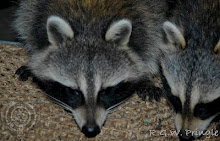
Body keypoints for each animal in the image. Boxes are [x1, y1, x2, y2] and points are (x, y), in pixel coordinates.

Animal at [13, 0, 168, 138]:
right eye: (74, 91)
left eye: (106, 91)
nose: (91, 130)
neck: (90, 27)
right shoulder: (36, 13)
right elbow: (28, 25)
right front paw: (32, 61)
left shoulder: (146, 19)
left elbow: (152, 41)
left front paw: (147, 75)